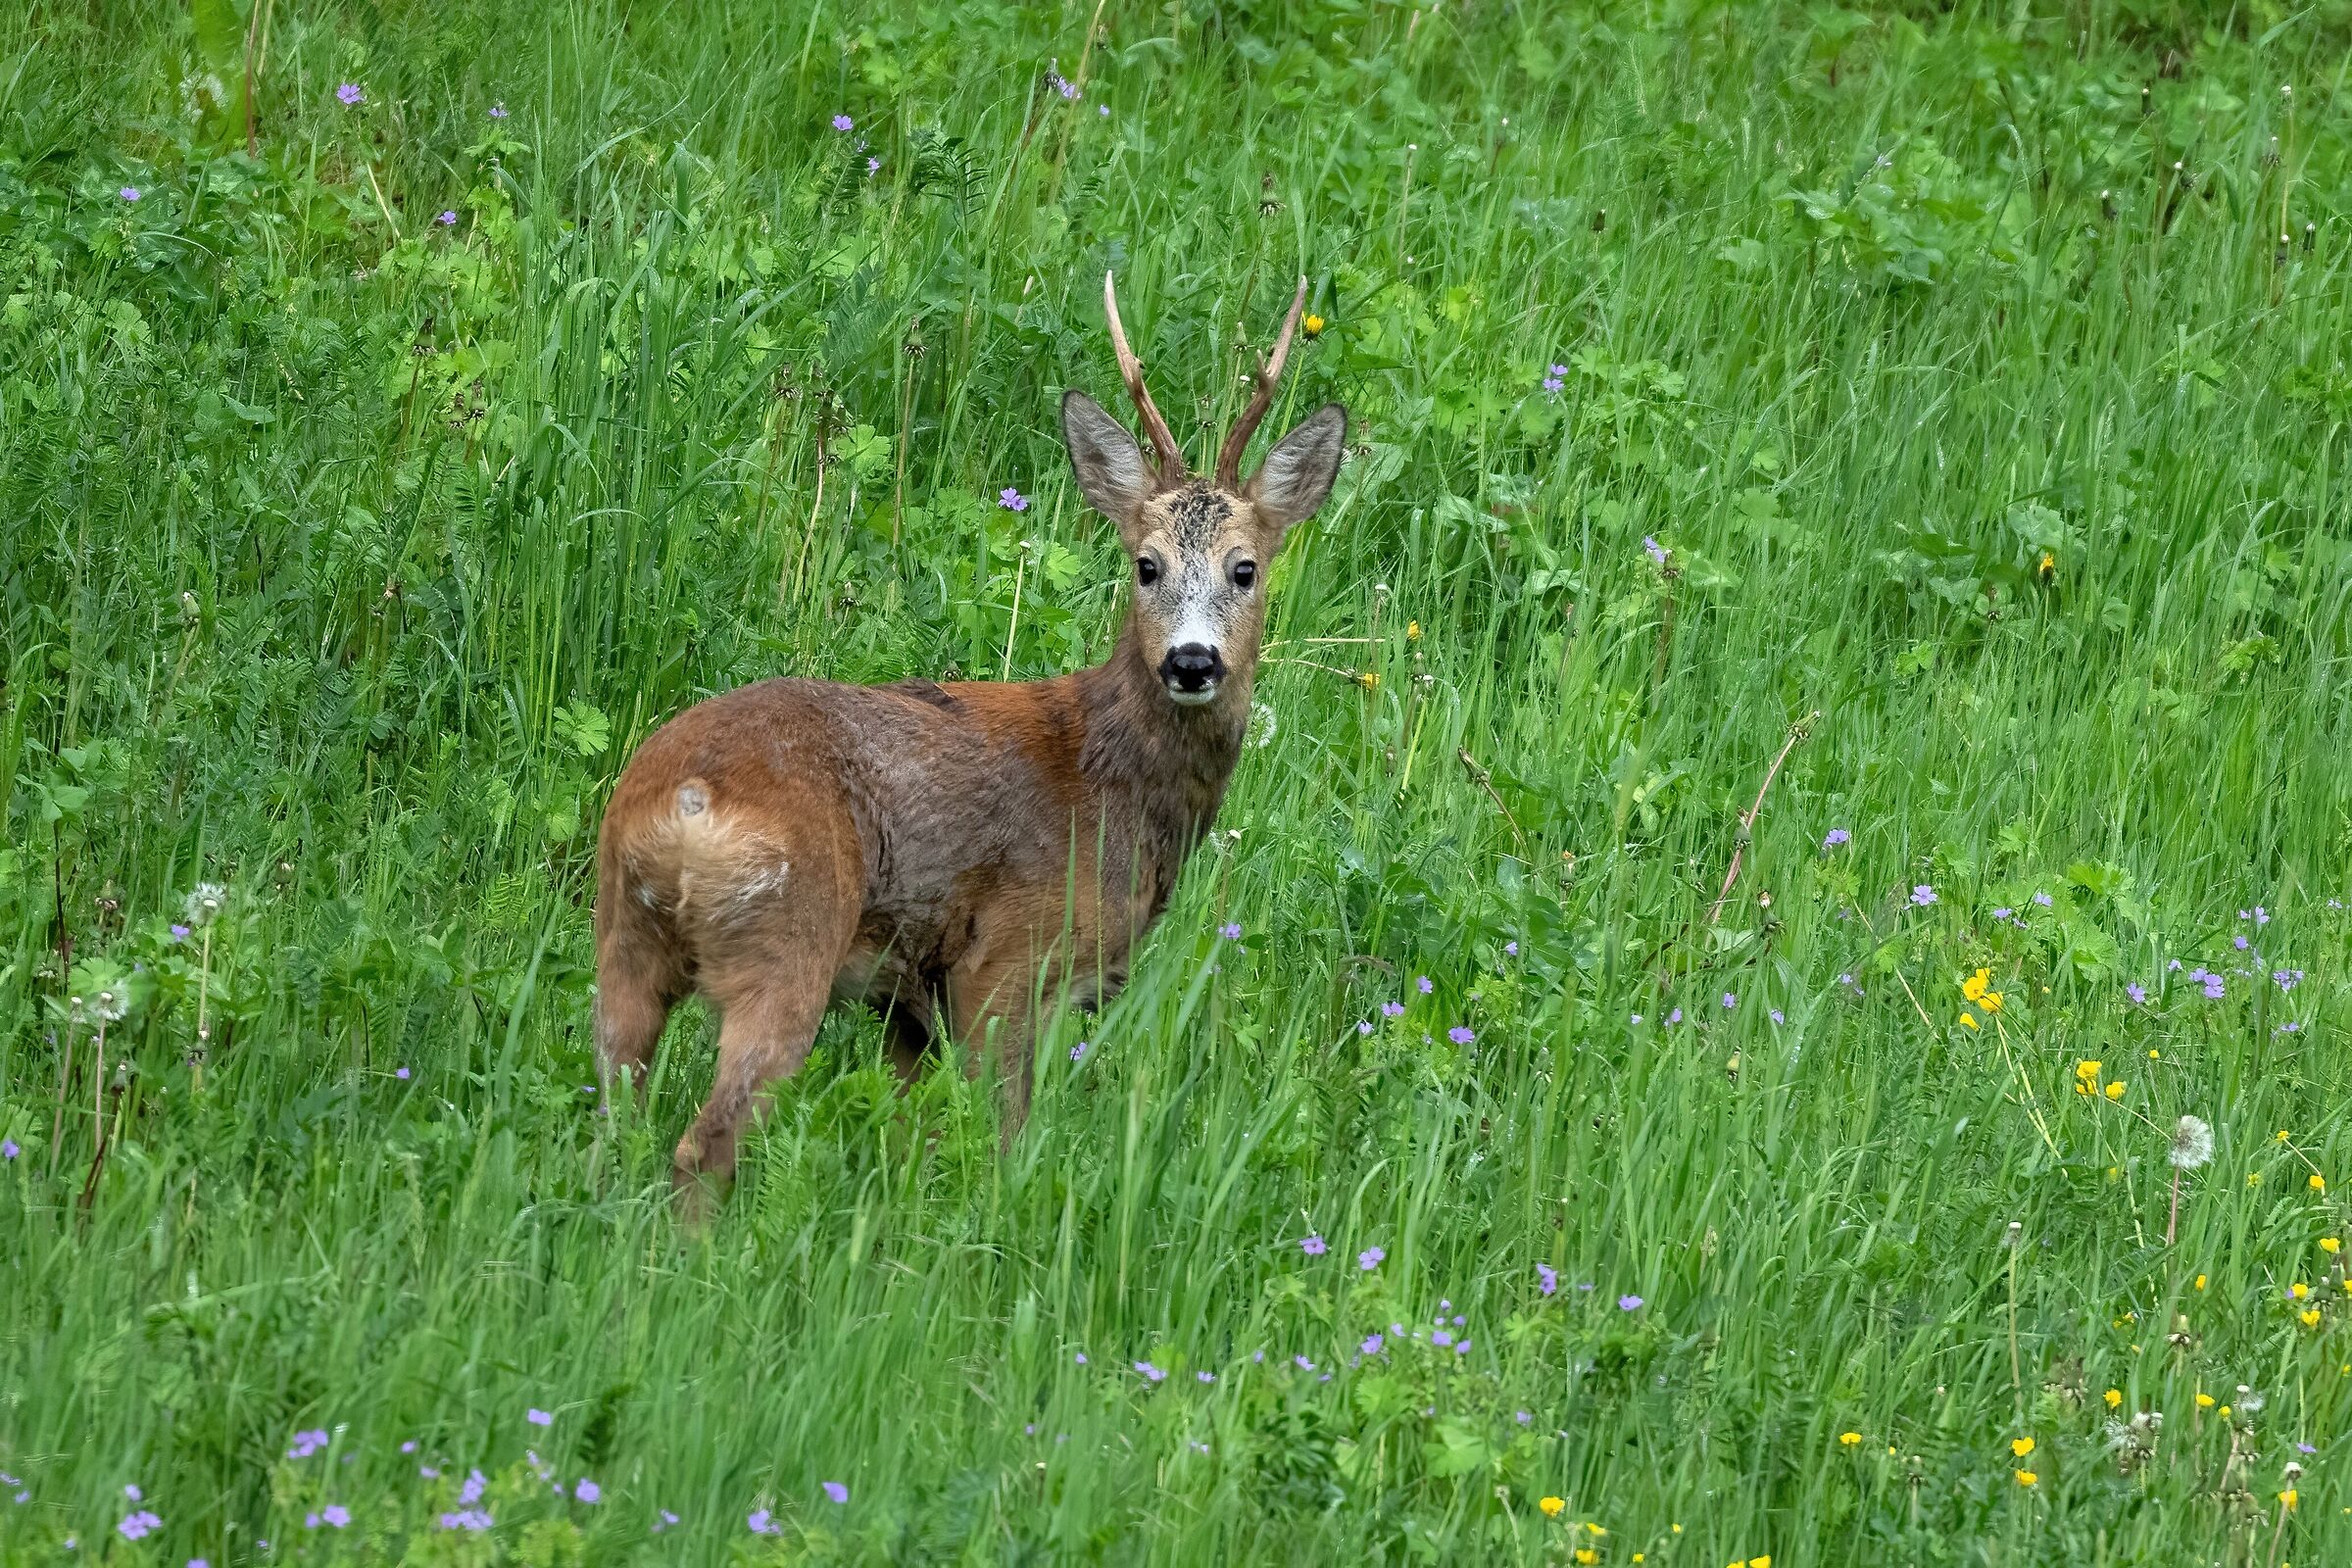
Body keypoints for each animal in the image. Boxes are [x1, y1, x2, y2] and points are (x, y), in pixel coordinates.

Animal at [592, 272, 1345, 1210]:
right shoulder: (1008, 961)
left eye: (1245, 569)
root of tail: (682, 801)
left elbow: (908, 1136)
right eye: (1147, 565)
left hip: (622, 938)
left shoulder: (910, 1003)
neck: (1112, 780)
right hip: (790, 939)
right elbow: (1002, 1139)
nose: (1193, 660)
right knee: (705, 1143)